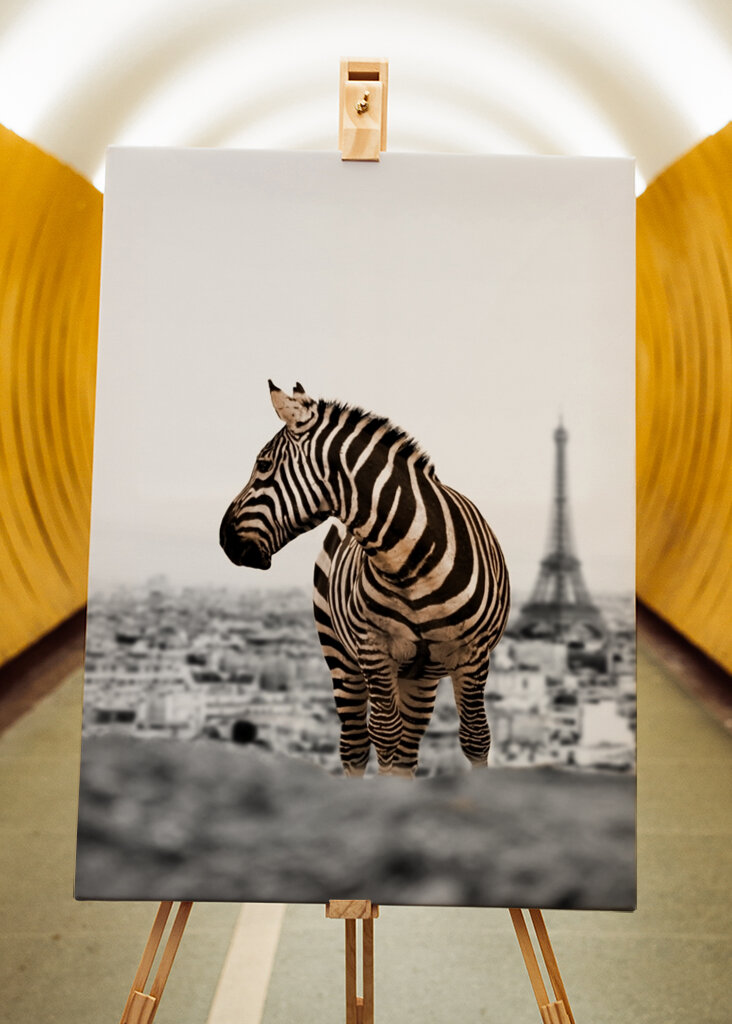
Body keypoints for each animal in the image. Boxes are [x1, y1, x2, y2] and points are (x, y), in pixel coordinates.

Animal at [219, 381, 510, 778]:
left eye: (263, 466)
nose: (224, 539)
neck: (411, 561)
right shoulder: (374, 648)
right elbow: (384, 734)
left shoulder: (473, 654)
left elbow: (475, 737)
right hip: (340, 654)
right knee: (356, 742)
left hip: (420, 674)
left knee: (408, 747)